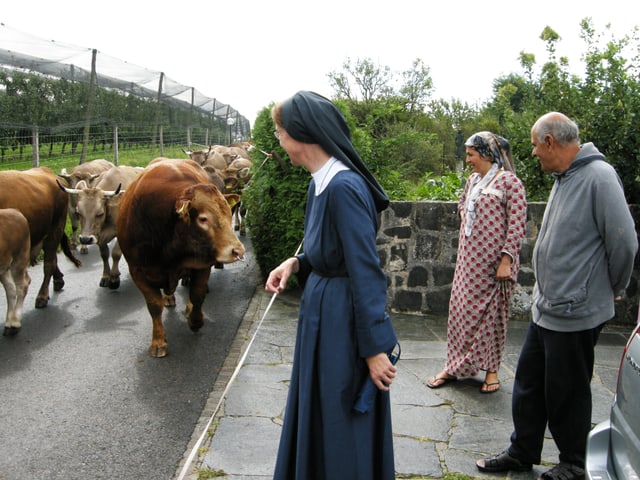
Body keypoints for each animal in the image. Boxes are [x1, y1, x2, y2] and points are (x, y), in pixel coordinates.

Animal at [115, 158, 245, 356]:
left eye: (228, 214)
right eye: (203, 219)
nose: (237, 251)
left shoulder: (202, 264)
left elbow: (197, 294)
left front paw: (195, 320)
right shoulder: (137, 270)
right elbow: (154, 305)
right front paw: (158, 341)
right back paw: (169, 298)